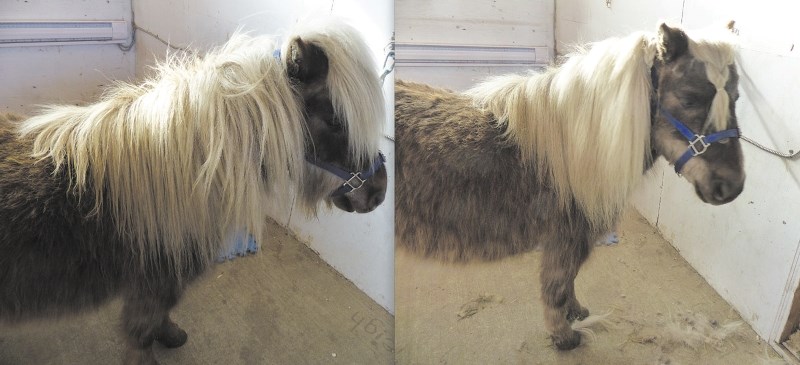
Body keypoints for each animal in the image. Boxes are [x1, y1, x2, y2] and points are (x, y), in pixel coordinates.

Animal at [0, 19, 388, 364]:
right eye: (336, 121)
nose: (378, 193)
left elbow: (161, 320)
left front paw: (172, 335)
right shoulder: (153, 287)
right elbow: (142, 334)